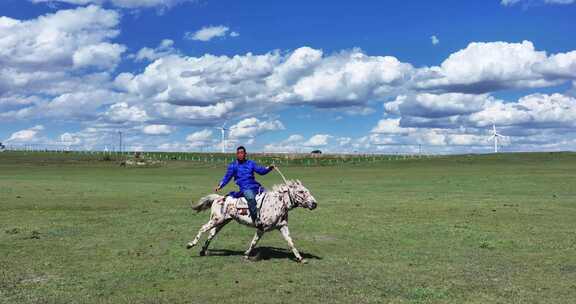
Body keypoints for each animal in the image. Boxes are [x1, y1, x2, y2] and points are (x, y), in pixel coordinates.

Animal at [187, 179, 318, 262]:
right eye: (301, 191)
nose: (314, 204)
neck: (277, 203)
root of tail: (218, 198)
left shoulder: (282, 227)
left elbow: (290, 242)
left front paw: (300, 258)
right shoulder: (261, 228)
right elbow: (254, 242)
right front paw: (246, 255)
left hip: (222, 222)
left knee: (211, 234)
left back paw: (202, 251)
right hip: (216, 220)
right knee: (203, 228)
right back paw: (190, 244)